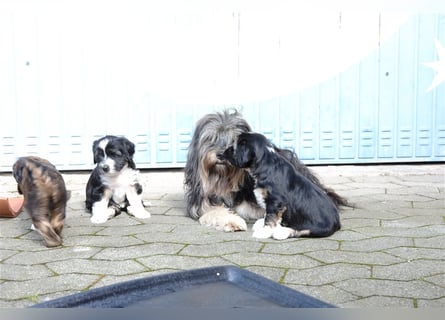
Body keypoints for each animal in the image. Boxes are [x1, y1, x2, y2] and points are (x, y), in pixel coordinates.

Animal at [183, 110, 346, 232]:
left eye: (233, 141)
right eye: (211, 138)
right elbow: (216, 211)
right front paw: (233, 222)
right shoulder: (202, 205)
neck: (224, 180)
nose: (220, 155)